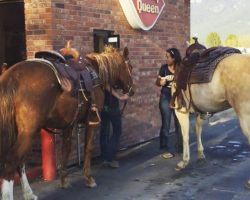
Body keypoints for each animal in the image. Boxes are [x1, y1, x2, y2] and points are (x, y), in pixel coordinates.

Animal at [0, 46, 135, 199]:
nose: (132, 90)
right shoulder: (92, 121)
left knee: (20, 163)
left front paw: (64, 179)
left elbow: (66, 149)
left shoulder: (69, 124)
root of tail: (11, 76)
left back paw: (29, 194)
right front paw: (88, 178)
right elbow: (88, 148)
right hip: (28, 132)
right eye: (130, 66)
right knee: (11, 162)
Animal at [173, 49, 250, 185]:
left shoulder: (181, 111)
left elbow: (185, 135)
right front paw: (200, 154)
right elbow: (197, 130)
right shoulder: (201, 110)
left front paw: (184, 161)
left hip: (245, 117)